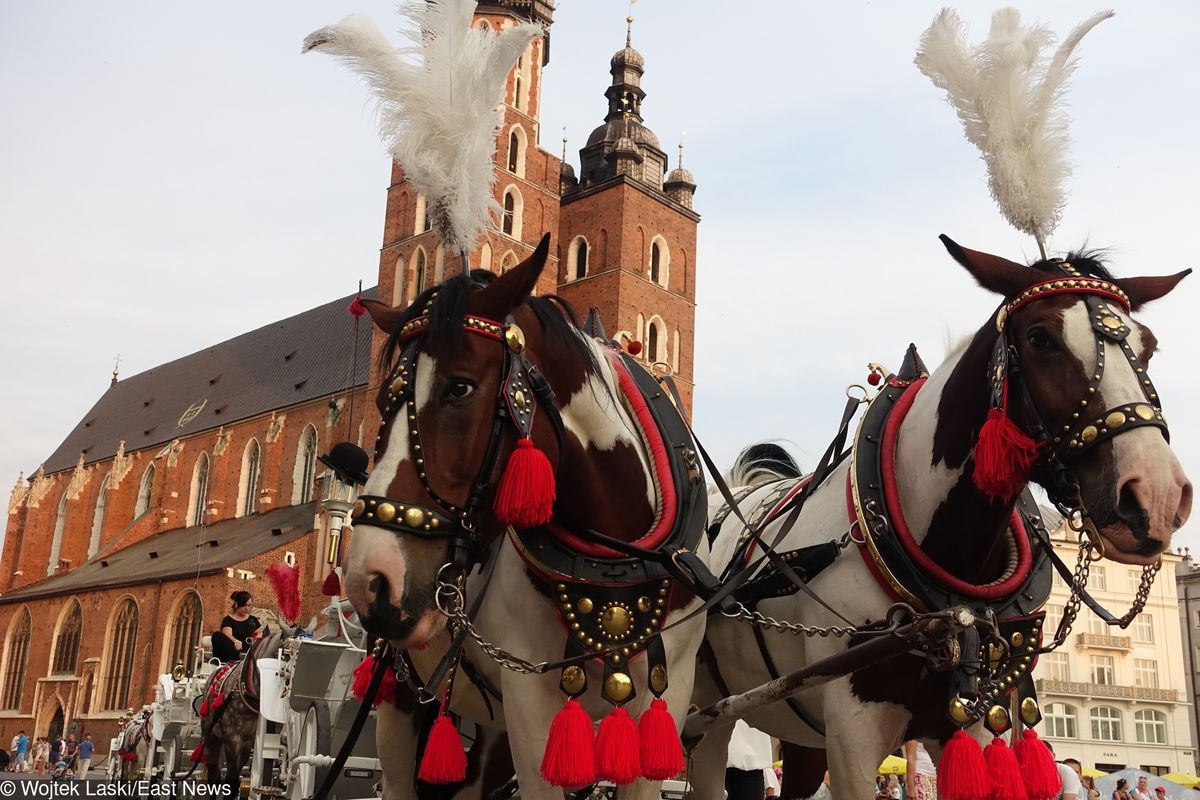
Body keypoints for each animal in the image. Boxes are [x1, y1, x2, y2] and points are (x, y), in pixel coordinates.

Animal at [343, 239, 705, 800]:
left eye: (460, 388)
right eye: (383, 401)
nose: (370, 577)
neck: (617, 557)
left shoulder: (670, 692)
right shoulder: (528, 696)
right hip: (399, 693)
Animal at [686, 239, 1190, 800]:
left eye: (1148, 347)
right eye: (1040, 338)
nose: (1155, 496)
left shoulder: (973, 722)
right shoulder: (853, 732)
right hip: (705, 709)